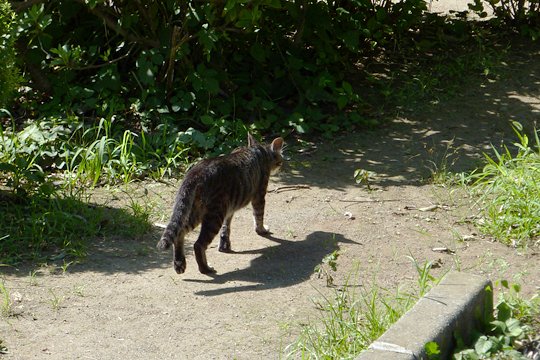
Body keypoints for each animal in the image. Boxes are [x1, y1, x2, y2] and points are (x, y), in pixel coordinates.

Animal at [156, 134, 284, 274]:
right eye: (280, 158)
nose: (281, 164)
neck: (258, 149)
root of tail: (194, 173)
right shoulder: (259, 196)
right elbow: (258, 216)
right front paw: (261, 230)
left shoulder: (230, 208)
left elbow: (226, 227)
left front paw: (224, 245)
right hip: (214, 215)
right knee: (198, 244)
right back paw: (205, 268)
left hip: (194, 211)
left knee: (179, 232)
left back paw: (179, 263)